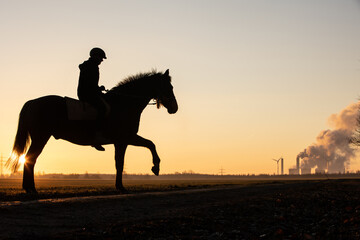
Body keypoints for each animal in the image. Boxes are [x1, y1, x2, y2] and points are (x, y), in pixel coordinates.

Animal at [6, 69, 178, 193]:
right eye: (169, 87)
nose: (174, 108)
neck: (124, 103)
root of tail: (32, 102)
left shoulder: (122, 141)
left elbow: (125, 159)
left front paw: (120, 185)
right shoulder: (125, 139)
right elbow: (145, 148)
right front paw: (154, 168)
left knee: (29, 159)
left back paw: (28, 188)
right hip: (41, 137)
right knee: (30, 159)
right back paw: (31, 189)